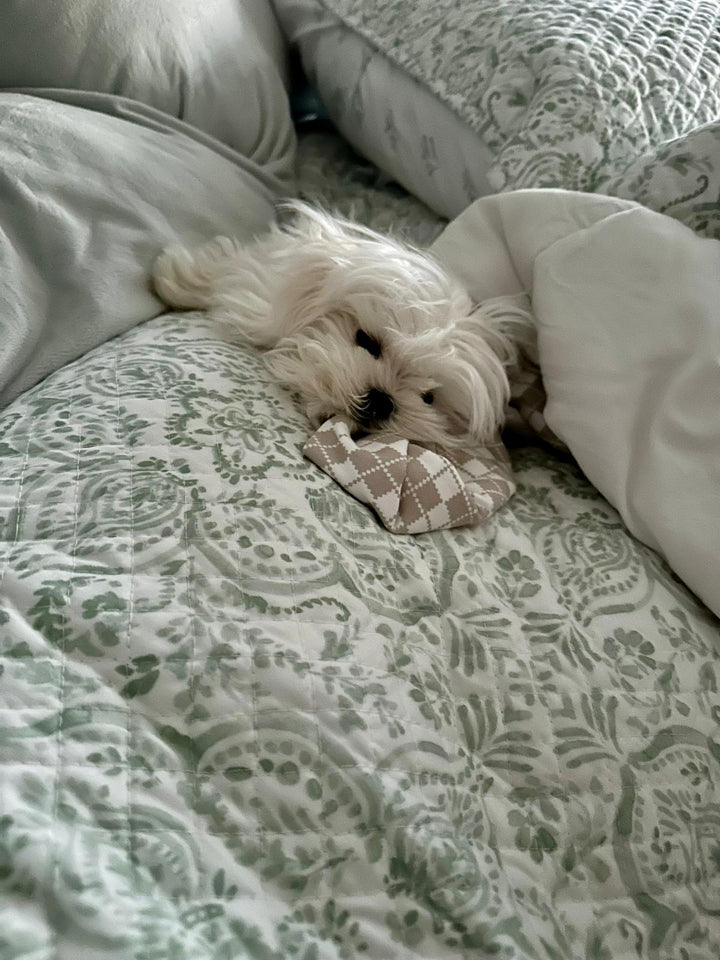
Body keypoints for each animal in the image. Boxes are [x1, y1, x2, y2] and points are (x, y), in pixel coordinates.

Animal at [152, 203, 532, 450]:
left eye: (429, 398)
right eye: (367, 341)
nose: (382, 400)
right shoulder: (261, 287)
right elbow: (226, 275)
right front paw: (174, 279)